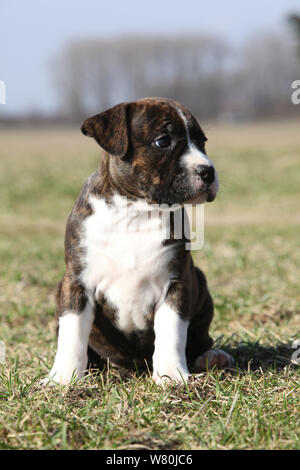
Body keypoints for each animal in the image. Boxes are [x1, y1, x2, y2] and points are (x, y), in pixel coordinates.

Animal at [43, 96, 233, 386]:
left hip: (199, 281)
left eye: (202, 142)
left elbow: (171, 332)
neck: (136, 213)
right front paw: (63, 378)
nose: (207, 171)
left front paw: (170, 374)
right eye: (163, 141)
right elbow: (72, 333)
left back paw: (212, 357)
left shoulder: (176, 283)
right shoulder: (76, 283)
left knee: (199, 338)